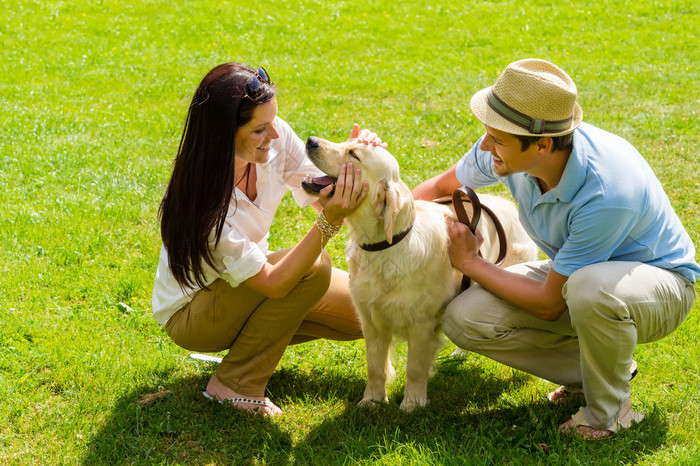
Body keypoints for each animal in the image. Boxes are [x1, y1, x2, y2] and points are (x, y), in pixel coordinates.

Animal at [300, 136, 536, 412]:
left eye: (354, 154)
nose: (311, 141)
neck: (385, 247)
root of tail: (507, 204)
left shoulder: (422, 325)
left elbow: (414, 367)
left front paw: (412, 403)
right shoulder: (371, 321)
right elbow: (375, 367)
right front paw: (372, 400)